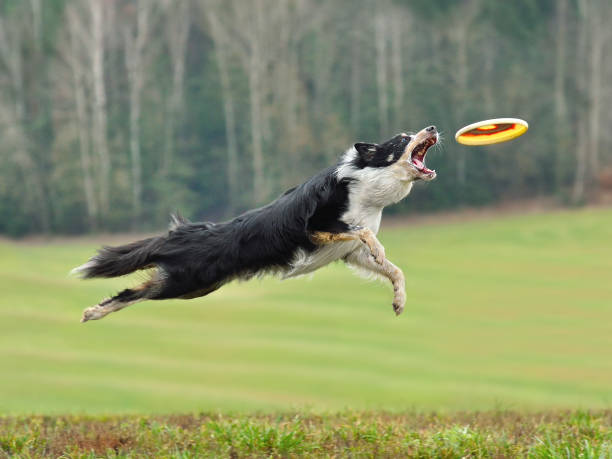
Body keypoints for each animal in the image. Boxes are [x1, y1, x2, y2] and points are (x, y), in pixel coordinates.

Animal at [75, 124, 440, 322]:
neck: (368, 187)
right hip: (187, 282)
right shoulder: (315, 228)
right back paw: (93, 312)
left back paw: (94, 312)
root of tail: (182, 232)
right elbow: (365, 234)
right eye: (401, 139)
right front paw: (380, 251)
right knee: (131, 291)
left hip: (197, 286)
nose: (433, 127)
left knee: (139, 291)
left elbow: (394, 271)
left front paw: (399, 300)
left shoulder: (349, 253)